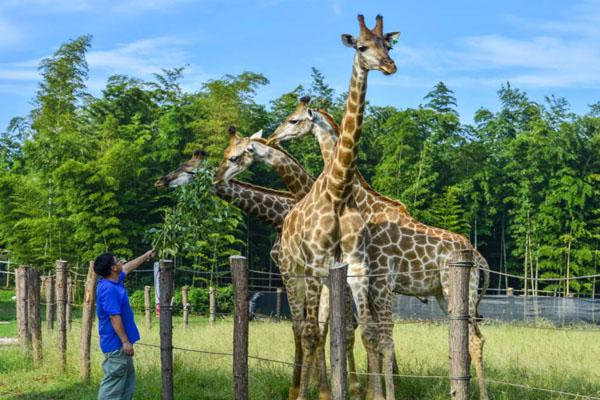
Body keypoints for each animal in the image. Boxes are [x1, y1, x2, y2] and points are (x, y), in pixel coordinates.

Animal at [216, 128, 364, 396]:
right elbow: (312, 328)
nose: (215, 178)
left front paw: (308, 389)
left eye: (233, 156)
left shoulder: (296, 268)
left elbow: (310, 329)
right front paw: (316, 386)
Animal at [270, 97, 490, 400]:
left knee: (475, 339)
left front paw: (380, 393)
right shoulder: (372, 283)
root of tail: (478, 258)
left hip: (457, 290)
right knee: (468, 338)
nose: (274, 136)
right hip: (444, 294)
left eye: (293, 120)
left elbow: (381, 339)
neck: (364, 201)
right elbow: (371, 336)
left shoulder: (380, 281)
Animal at [272, 14, 398, 398]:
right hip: (293, 272)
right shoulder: (315, 263)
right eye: (362, 46)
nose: (389, 66)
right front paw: (326, 392)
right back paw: (299, 390)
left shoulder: (355, 265)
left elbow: (367, 333)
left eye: (388, 45)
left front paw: (370, 393)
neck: (339, 190)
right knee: (302, 329)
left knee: (320, 329)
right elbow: (316, 332)